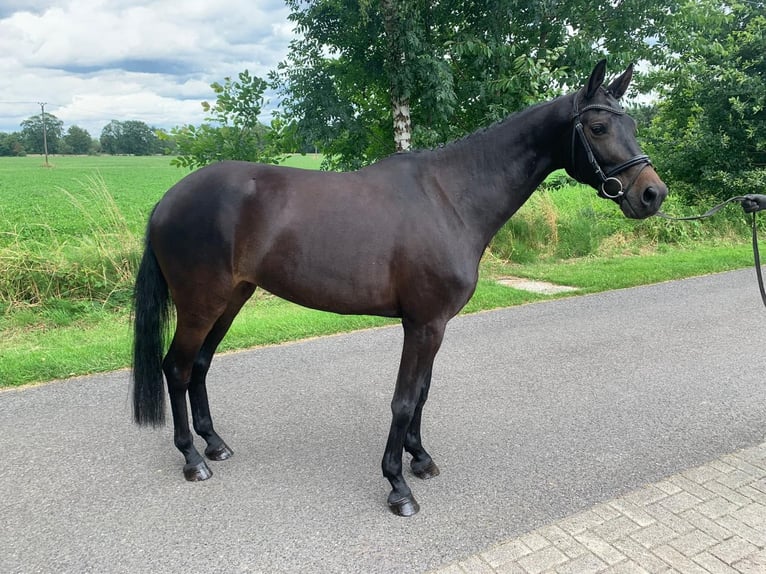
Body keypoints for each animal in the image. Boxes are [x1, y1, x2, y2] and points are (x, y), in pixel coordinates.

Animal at [132, 60, 667, 516]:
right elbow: (404, 400)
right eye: (598, 128)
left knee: (200, 366)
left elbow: (422, 395)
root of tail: (167, 200)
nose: (652, 194)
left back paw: (214, 444)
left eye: (633, 125)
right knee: (176, 367)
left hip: (231, 299)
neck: (450, 198)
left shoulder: (435, 325)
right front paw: (398, 486)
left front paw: (421, 459)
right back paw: (192, 459)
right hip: (201, 304)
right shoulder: (423, 324)